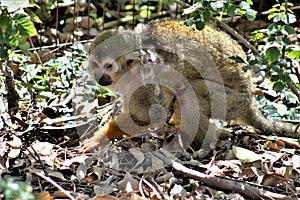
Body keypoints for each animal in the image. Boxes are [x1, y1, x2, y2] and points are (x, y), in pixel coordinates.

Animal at [80, 19, 298, 152]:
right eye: (96, 65)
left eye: (108, 66)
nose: (100, 78)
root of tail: (250, 99)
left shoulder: (145, 83)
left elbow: (146, 116)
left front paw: (102, 137)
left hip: (231, 100)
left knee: (187, 96)